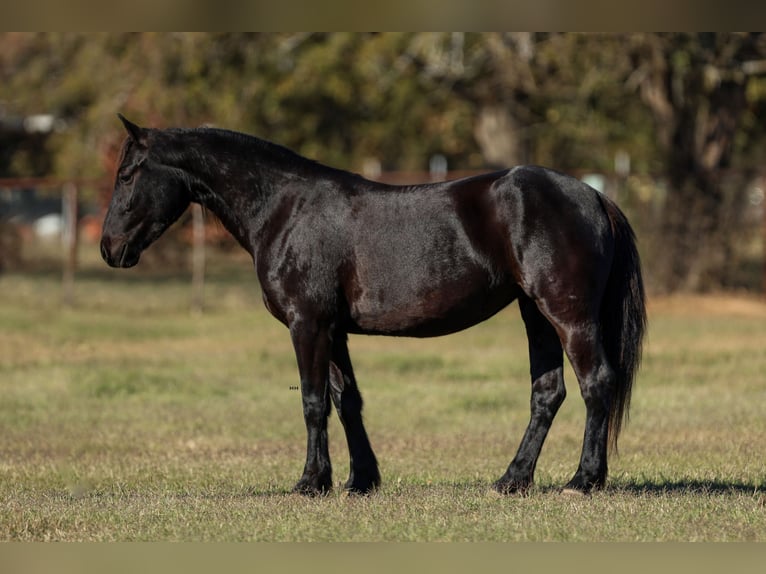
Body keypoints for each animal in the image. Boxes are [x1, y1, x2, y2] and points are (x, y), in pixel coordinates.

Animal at [99, 115, 644, 498]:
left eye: (127, 174)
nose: (109, 248)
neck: (285, 209)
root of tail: (593, 194)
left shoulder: (307, 324)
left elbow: (313, 402)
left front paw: (310, 483)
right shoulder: (333, 329)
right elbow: (347, 401)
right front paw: (359, 480)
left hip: (567, 315)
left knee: (596, 383)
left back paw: (583, 481)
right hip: (536, 315)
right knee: (547, 393)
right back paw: (512, 480)